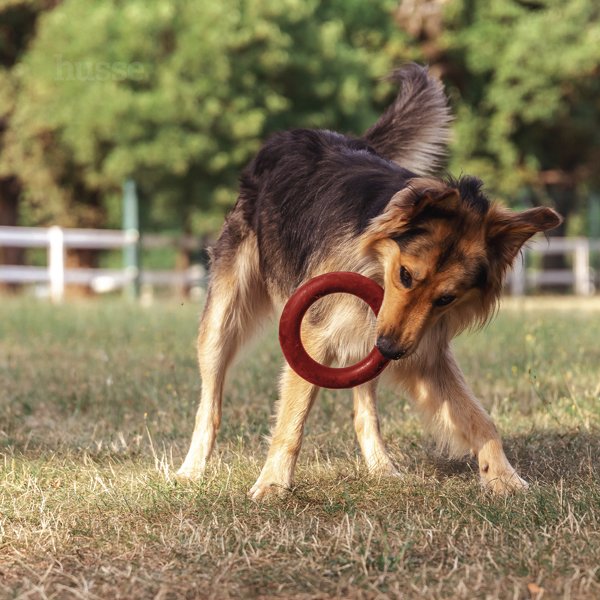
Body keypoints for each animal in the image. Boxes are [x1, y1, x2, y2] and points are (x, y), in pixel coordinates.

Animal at [178, 64, 564, 496]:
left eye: (446, 298)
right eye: (405, 275)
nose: (391, 350)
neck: (374, 266)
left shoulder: (424, 351)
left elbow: (480, 419)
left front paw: (504, 478)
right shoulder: (315, 335)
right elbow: (292, 420)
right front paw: (274, 484)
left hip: (364, 338)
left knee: (364, 411)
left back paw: (381, 467)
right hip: (223, 321)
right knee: (209, 404)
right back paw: (191, 471)